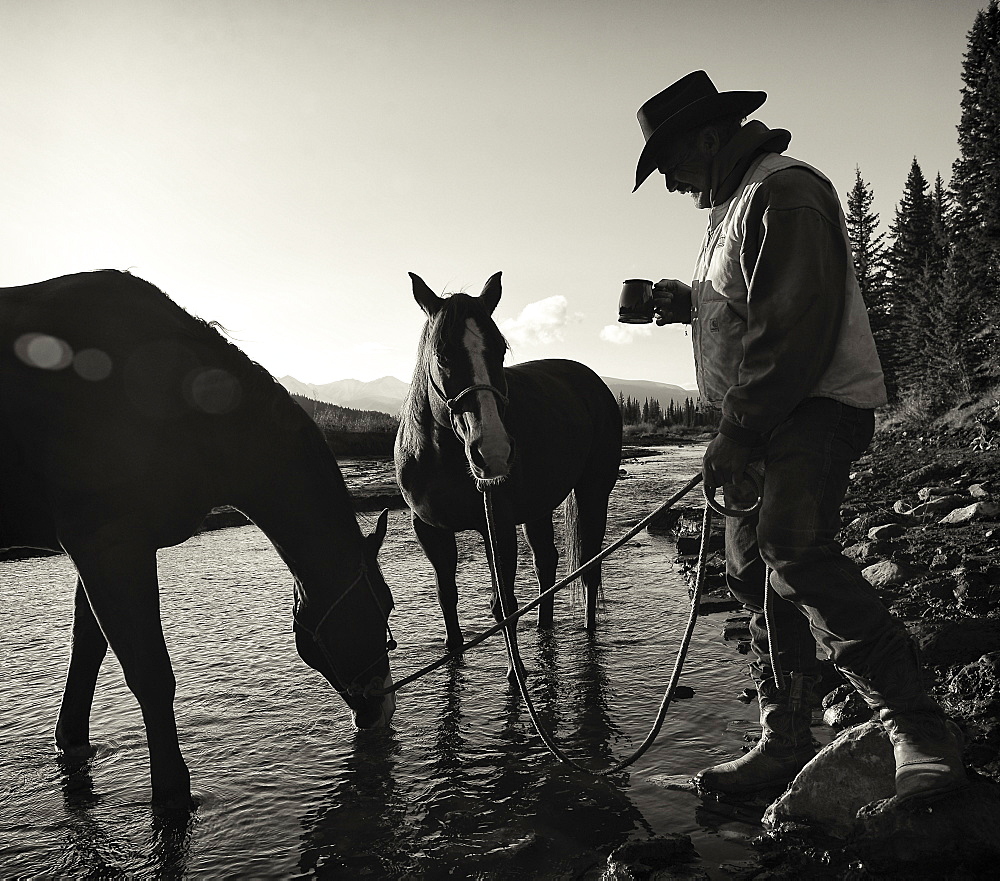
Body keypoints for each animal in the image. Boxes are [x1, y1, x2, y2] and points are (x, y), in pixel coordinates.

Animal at [0, 270, 398, 812]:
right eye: (384, 605)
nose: (384, 710)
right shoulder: (107, 543)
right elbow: (149, 674)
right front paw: (172, 794)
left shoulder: (104, 550)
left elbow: (88, 649)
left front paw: (72, 743)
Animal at [394, 272, 620, 676]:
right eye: (443, 354)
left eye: (500, 349)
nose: (494, 450)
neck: (441, 454)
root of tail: (593, 382)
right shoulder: (430, 530)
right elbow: (446, 597)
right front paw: (455, 652)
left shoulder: (496, 523)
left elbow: (505, 604)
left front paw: (517, 674)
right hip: (538, 506)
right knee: (546, 562)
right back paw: (545, 627)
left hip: (594, 492)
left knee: (589, 568)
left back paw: (589, 633)